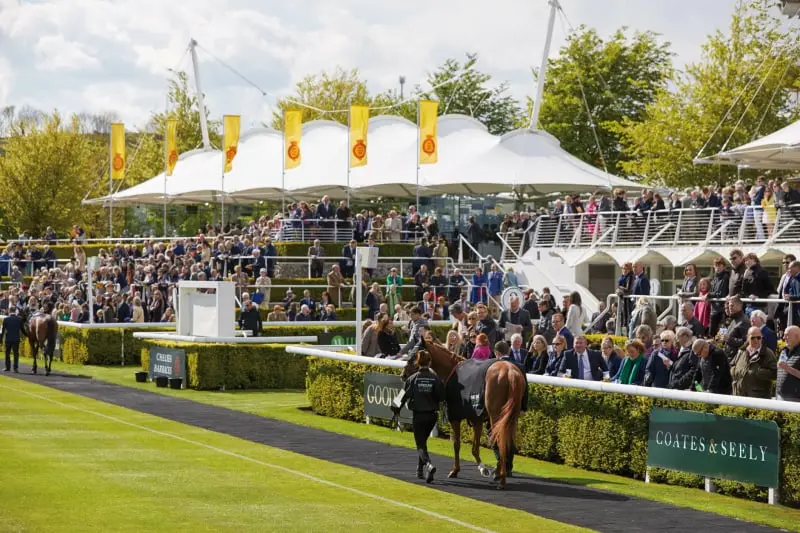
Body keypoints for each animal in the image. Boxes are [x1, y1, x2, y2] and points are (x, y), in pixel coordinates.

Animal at [400, 334, 524, 488]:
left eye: (413, 356)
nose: (403, 374)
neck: (451, 370)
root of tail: (509, 372)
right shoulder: (477, 419)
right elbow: (474, 446)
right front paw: (483, 468)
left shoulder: (456, 417)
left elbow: (457, 444)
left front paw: (457, 470)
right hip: (511, 416)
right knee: (507, 442)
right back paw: (500, 472)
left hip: (497, 416)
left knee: (500, 442)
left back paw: (501, 479)